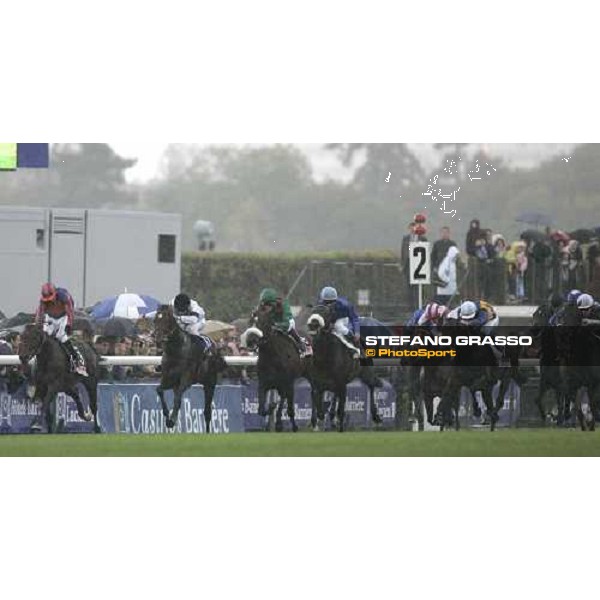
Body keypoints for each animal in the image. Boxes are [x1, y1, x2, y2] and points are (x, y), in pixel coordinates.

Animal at [152, 304, 227, 432]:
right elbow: (160, 390)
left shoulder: (186, 380)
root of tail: (215, 346)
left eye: (165, 320)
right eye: (155, 320)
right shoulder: (168, 379)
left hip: (210, 383)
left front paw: (171, 421)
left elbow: (177, 399)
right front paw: (167, 416)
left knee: (207, 412)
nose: (156, 338)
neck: (176, 350)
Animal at [239, 304, 304, 432]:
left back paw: (294, 425)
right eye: (250, 321)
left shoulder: (285, 383)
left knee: (290, 406)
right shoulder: (263, 384)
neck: (272, 357)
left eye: (263, 322)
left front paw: (278, 423)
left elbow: (281, 404)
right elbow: (260, 410)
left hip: (291, 384)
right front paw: (270, 408)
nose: (251, 340)